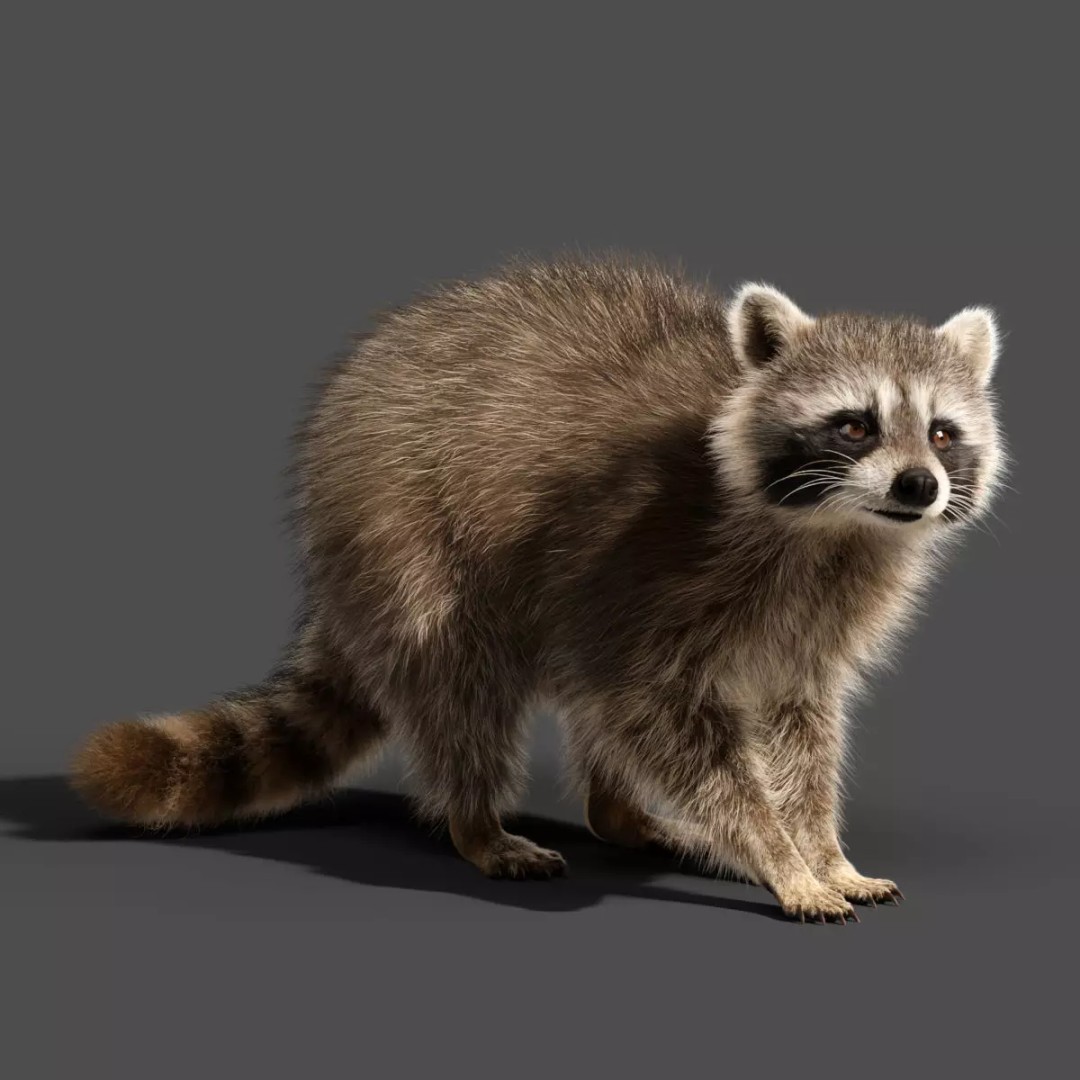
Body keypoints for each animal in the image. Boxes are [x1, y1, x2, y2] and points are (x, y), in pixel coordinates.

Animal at [72, 257, 1005, 922]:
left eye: (942, 433)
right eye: (855, 425)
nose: (919, 487)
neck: (835, 530)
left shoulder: (817, 620)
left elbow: (801, 728)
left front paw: (824, 848)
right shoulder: (650, 559)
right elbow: (661, 713)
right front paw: (777, 852)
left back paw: (619, 812)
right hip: (406, 539)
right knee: (462, 687)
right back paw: (477, 821)